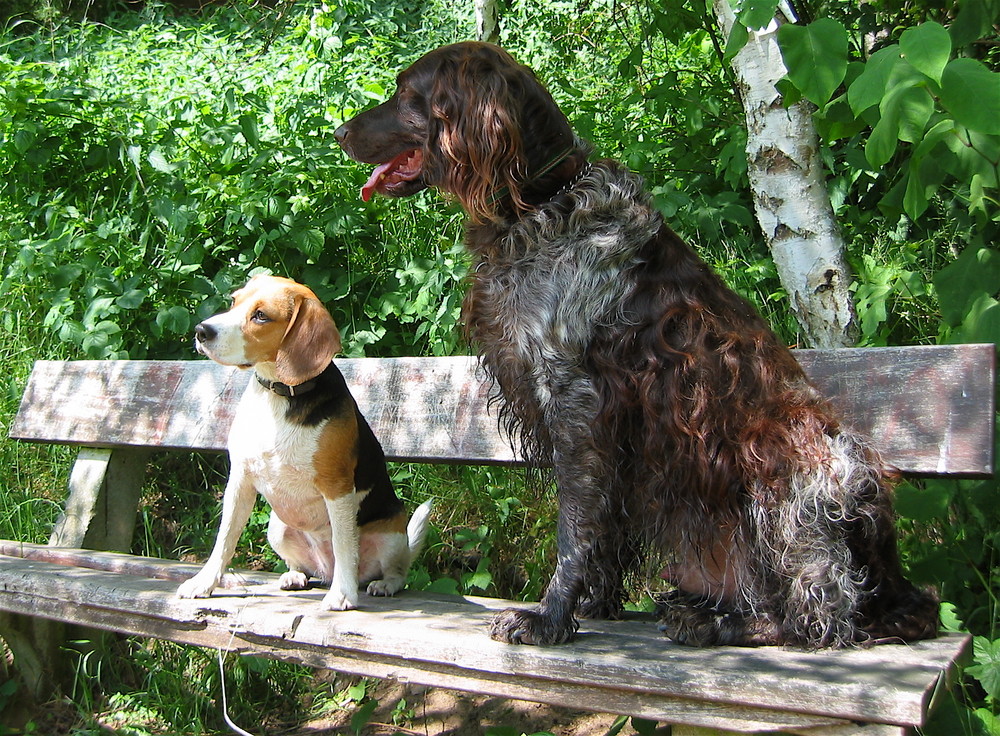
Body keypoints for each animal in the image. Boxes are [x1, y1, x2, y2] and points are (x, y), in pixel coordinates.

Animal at [334, 41, 936, 648]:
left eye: (407, 94)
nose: (338, 132)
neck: (542, 204)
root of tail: (894, 582)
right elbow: (603, 529)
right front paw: (594, 603)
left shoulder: (576, 399)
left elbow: (574, 528)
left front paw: (549, 615)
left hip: (791, 466)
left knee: (822, 615)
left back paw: (722, 623)